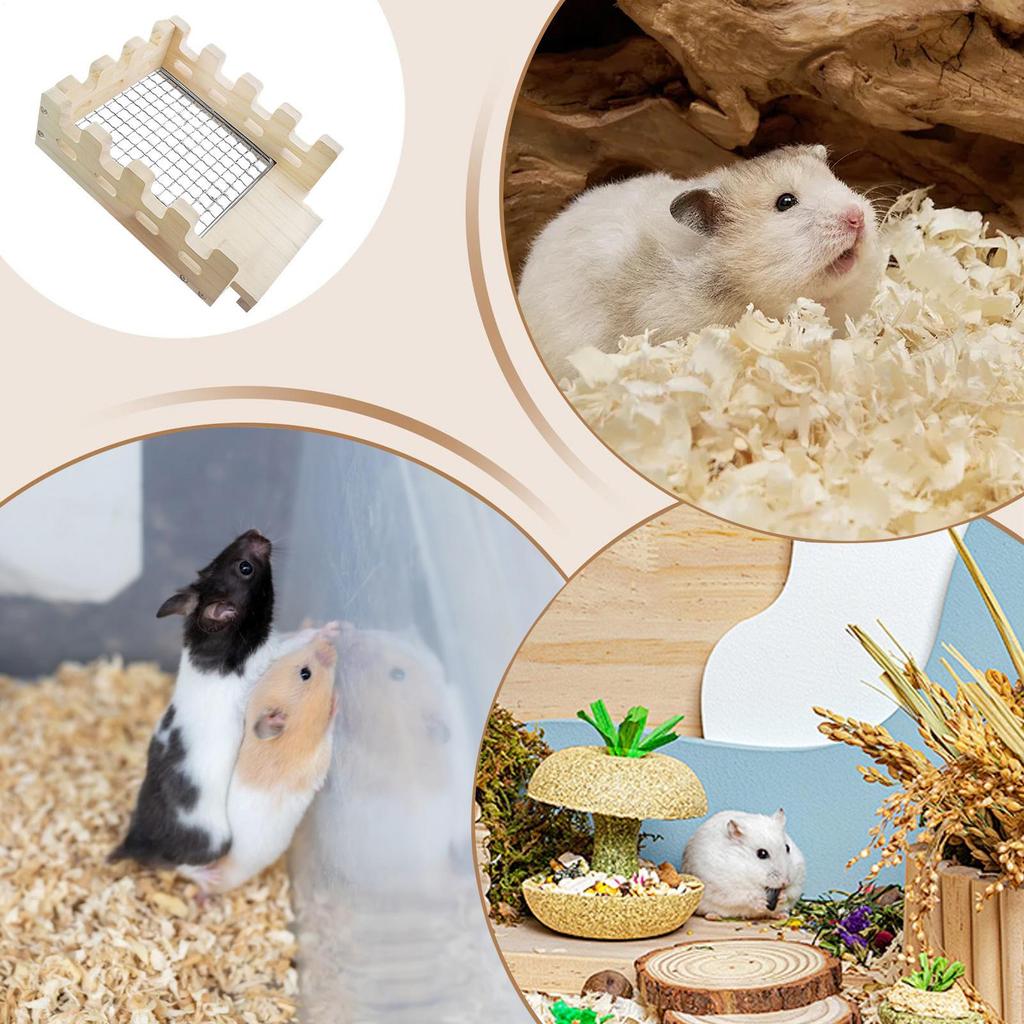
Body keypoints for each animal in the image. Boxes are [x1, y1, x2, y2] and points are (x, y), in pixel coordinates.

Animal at [110, 529, 312, 869]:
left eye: (214, 559)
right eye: (245, 568)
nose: (256, 533)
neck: (211, 637)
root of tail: (132, 843)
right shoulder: (265, 657)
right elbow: (291, 642)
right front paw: (331, 628)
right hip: (216, 840)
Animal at [178, 624, 339, 893]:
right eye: (305, 673)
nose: (332, 647)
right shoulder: (315, 760)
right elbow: (327, 737)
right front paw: (336, 702)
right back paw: (208, 880)